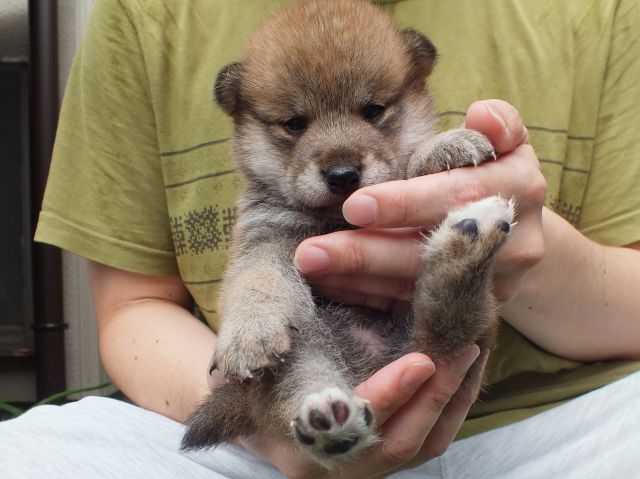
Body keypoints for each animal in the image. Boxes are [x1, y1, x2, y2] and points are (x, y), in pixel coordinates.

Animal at [181, 0, 516, 472]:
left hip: (472, 339)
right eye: (294, 124)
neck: (336, 219)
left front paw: (442, 146)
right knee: (300, 389)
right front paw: (250, 334)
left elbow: (405, 162)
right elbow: (256, 279)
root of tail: (382, 359)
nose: (342, 174)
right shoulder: (265, 235)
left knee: (449, 328)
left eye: (373, 111)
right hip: (306, 345)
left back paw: (469, 242)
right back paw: (329, 423)